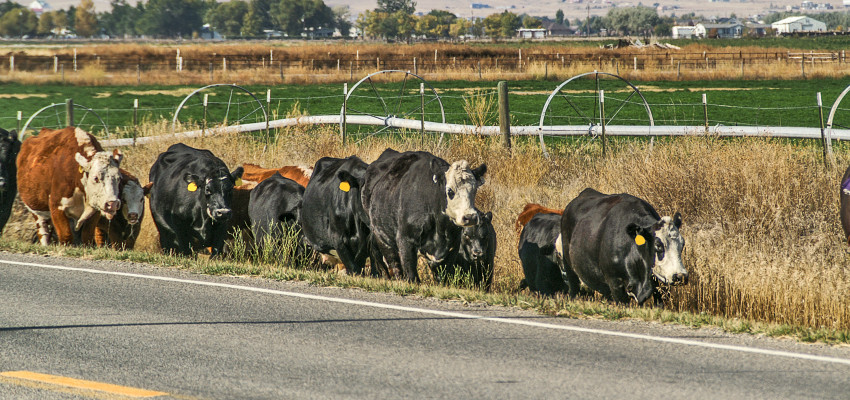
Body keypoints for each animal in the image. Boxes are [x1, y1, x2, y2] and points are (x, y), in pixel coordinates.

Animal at [362, 148, 486, 282]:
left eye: (474, 190)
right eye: (450, 191)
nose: (470, 217)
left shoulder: (453, 246)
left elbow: (442, 276)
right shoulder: (405, 239)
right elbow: (411, 274)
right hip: (381, 234)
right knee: (394, 263)